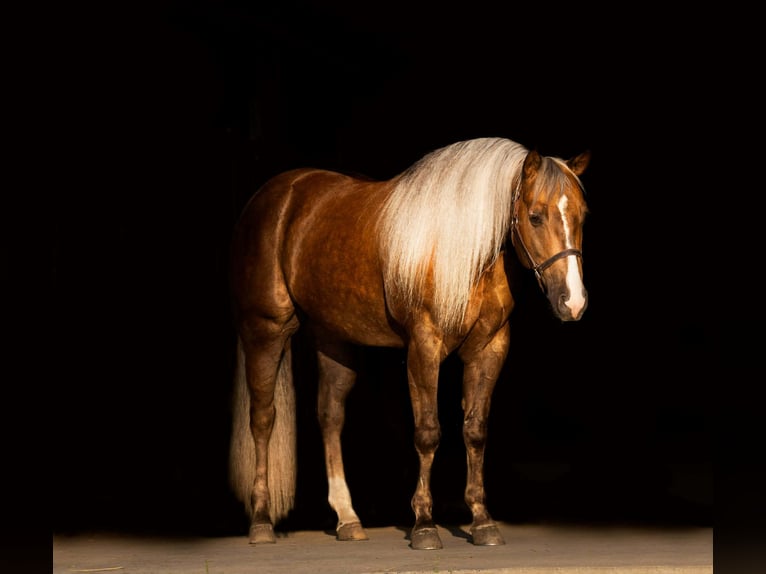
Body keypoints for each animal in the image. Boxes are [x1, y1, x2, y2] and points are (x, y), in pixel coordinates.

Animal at [228, 137, 590, 550]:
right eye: (535, 216)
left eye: (582, 215)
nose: (573, 302)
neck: (460, 251)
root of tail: (274, 196)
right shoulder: (423, 347)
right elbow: (428, 432)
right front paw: (425, 525)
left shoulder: (490, 349)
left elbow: (475, 431)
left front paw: (482, 522)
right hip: (265, 331)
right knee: (263, 420)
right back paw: (261, 522)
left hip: (332, 339)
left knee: (330, 417)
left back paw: (348, 519)